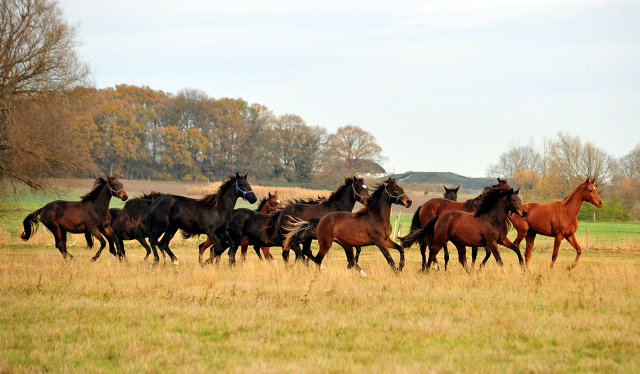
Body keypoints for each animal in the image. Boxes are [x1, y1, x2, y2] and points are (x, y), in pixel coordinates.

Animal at [284, 178, 412, 274]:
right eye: (395, 189)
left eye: (401, 188)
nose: (409, 202)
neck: (377, 217)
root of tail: (321, 219)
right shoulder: (379, 241)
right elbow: (390, 260)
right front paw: (397, 272)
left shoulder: (386, 239)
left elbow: (400, 249)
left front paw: (401, 267)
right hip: (325, 244)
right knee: (316, 258)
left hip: (344, 244)